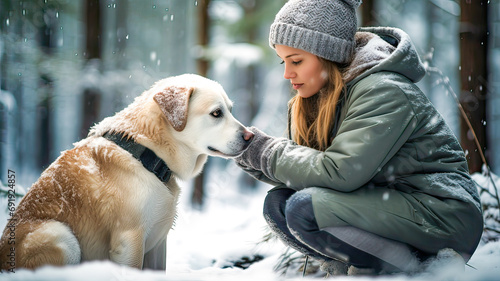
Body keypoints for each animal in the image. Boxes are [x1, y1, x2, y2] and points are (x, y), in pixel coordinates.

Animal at [0, 73, 254, 270]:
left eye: (230, 110)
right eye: (216, 113)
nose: (250, 136)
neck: (147, 153)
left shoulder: (158, 245)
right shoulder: (129, 239)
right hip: (60, 236)